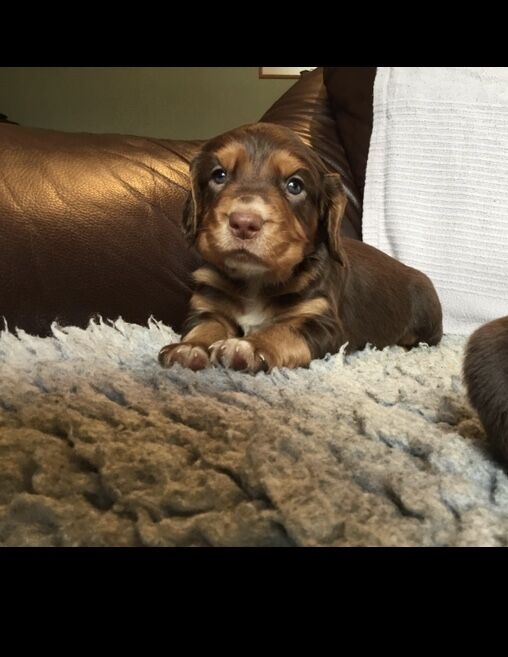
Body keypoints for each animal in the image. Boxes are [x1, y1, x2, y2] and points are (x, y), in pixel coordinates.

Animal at [159, 121, 440, 374]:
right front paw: (189, 348)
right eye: (219, 175)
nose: (244, 222)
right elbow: (206, 326)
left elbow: (282, 330)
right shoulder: (208, 305)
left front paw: (248, 347)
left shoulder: (320, 321)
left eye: (295, 185)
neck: (255, 280)